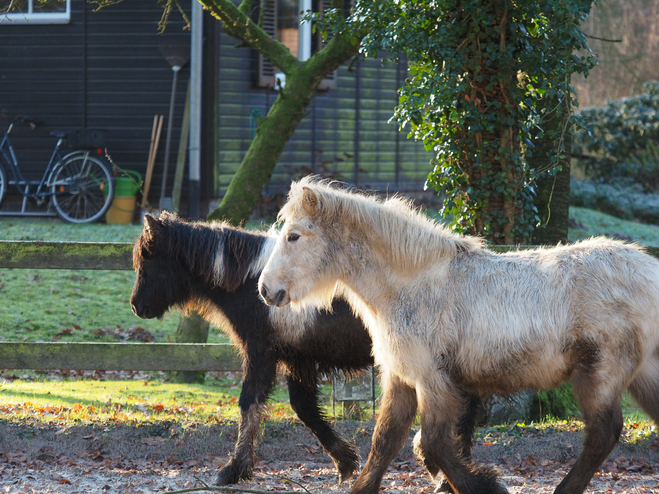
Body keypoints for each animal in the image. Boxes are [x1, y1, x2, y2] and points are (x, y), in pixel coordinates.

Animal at [260, 177, 659, 494]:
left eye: (293, 236)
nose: (266, 290)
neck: (411, 285)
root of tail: (650, 270)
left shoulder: (433, 381)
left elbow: (434, 443)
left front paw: (486, 485)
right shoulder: (401, 379)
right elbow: (386, 441)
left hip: (600, 373)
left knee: (602, 433)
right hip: (641, 375)